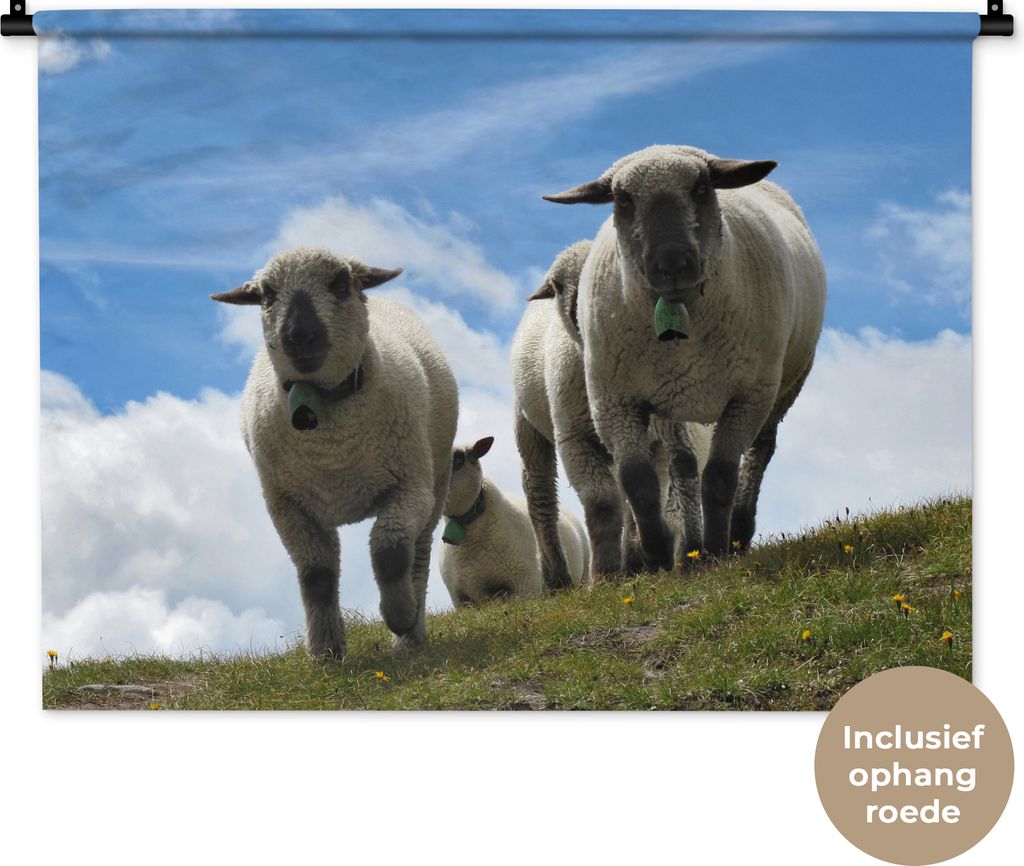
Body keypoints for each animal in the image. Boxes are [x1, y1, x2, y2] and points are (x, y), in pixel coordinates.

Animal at [211, 247, 458, 658]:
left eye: (340, 284)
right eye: (266, 295)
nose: (298, 336)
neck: (333, 450)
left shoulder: (409, 486)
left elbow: (390, 550)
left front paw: (399, 616)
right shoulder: (288, 506)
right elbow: (317, 574)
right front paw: (325, 650)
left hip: (435, 483)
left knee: (418, 555)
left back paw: (410, 636)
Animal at [511, 241, 711, 584]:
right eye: (558, 286)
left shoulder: (654, 441)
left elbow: (643, 494)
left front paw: (638, 560)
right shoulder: (574, 438)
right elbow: (602, 504)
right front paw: (605, 574)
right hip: (529, 427)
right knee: (540, 495)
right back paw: (557, 578)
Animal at [544, 145, 826, 563]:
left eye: (701, 188)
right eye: (622, 200)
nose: (672, 264)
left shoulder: (748, 397)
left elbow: (721, 477)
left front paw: (714, 553)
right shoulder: (615, 402)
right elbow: (639, 483)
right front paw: (657, 558)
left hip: (781, 389)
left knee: (757, 456)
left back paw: (737, 535)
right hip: (670, 401)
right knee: (682, 466)